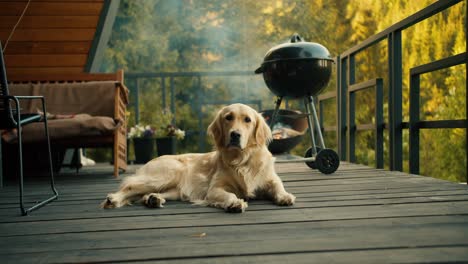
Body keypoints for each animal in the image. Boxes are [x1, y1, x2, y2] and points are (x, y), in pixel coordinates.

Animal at [101, 103, 294, 212]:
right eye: (228, 118)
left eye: (247, 120)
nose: (235, 135)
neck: (242, 159)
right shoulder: (215, 189)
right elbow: (229, 195)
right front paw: (235, 203)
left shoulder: (270, 178)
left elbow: (278, 186)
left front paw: (285, 196)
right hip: (168, 173)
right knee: (128, 187)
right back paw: (114, 199)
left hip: (174, 189)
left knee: (144, 194)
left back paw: (153, 199)